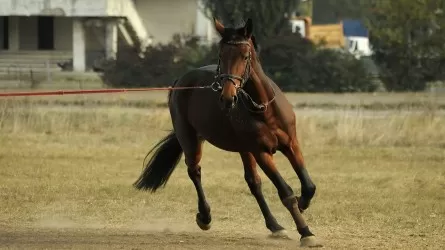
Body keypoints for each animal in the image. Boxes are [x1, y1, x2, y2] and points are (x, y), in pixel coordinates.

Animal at [134, 18, 320, 248]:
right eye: (221, 56)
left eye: (245, 56)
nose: (227, 98)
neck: (264, 109)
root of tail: (180, 82)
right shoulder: (261, 152)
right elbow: (285, 192)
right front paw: (306, 232)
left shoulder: (291, 144)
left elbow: (308, 185)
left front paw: (303, 205)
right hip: (191, 140)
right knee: (194, 171)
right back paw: (205, 217)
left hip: (244, 149)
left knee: (253, 183)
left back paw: (275, 226)